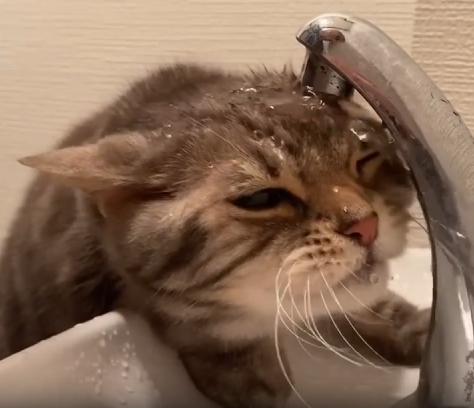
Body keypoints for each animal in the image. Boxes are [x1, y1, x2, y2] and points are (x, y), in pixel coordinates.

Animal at [0, 64, 430, 407]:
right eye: (261, 198)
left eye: (365, 158)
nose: (367, 225)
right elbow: (195, 319)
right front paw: (249, 371)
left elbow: (365, 304)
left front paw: (418, 330)